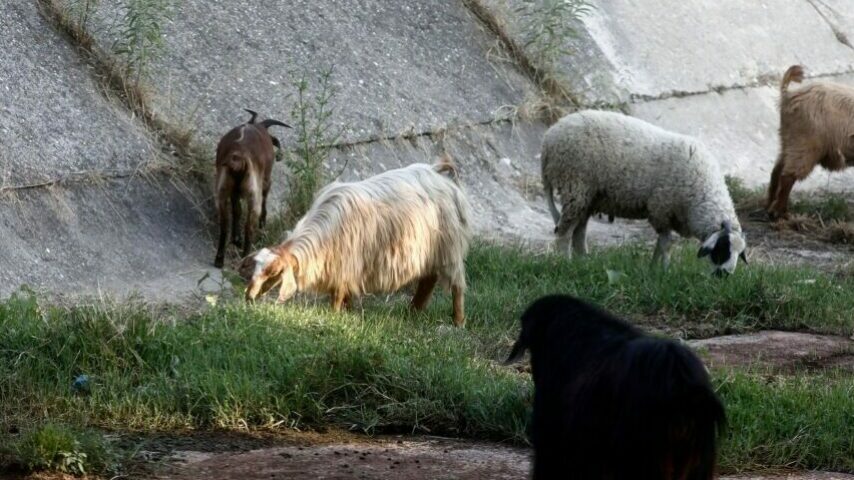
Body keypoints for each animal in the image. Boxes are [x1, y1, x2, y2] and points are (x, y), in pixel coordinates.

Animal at [216, 112, 292, 268]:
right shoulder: (266, 182)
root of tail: (238, 159)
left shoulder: (234, 193)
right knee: (249, 227)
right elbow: (263, 206)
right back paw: (246, 257)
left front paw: (236, 239)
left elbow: (237, 210)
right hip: (254, 195)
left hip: (222, 191)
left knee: (225, 224)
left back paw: (220, 259)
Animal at [247, 159, 472, 328]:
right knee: (429, 279)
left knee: (456, 285)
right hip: (431, 250)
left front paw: (335, 316)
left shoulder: (346, 264)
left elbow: (337, 295)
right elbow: (345, 294)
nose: (249, 297)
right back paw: (414, 311)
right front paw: (348, 312)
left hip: (449, 246)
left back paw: (458, 321)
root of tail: (437, 171)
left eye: (273, 272)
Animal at [540, 109, 748, 274]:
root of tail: (550, 136)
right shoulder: (661, 210)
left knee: (578, 232)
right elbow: (666, 244)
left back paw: (583, 262)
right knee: (564, 232)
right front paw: (664, 271)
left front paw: (653, 268)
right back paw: (565, 263)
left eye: (739, 254)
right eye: (722, 249)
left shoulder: (666, 215)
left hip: (587, 196)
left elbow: (661, 244)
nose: (724, 275)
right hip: (575, 185)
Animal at [764, 65, 854, 219]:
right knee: (788, 175)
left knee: (777, 170)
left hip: (788, 141)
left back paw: (769, 205)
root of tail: (788, 95)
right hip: (805, 142)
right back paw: (780, 212)